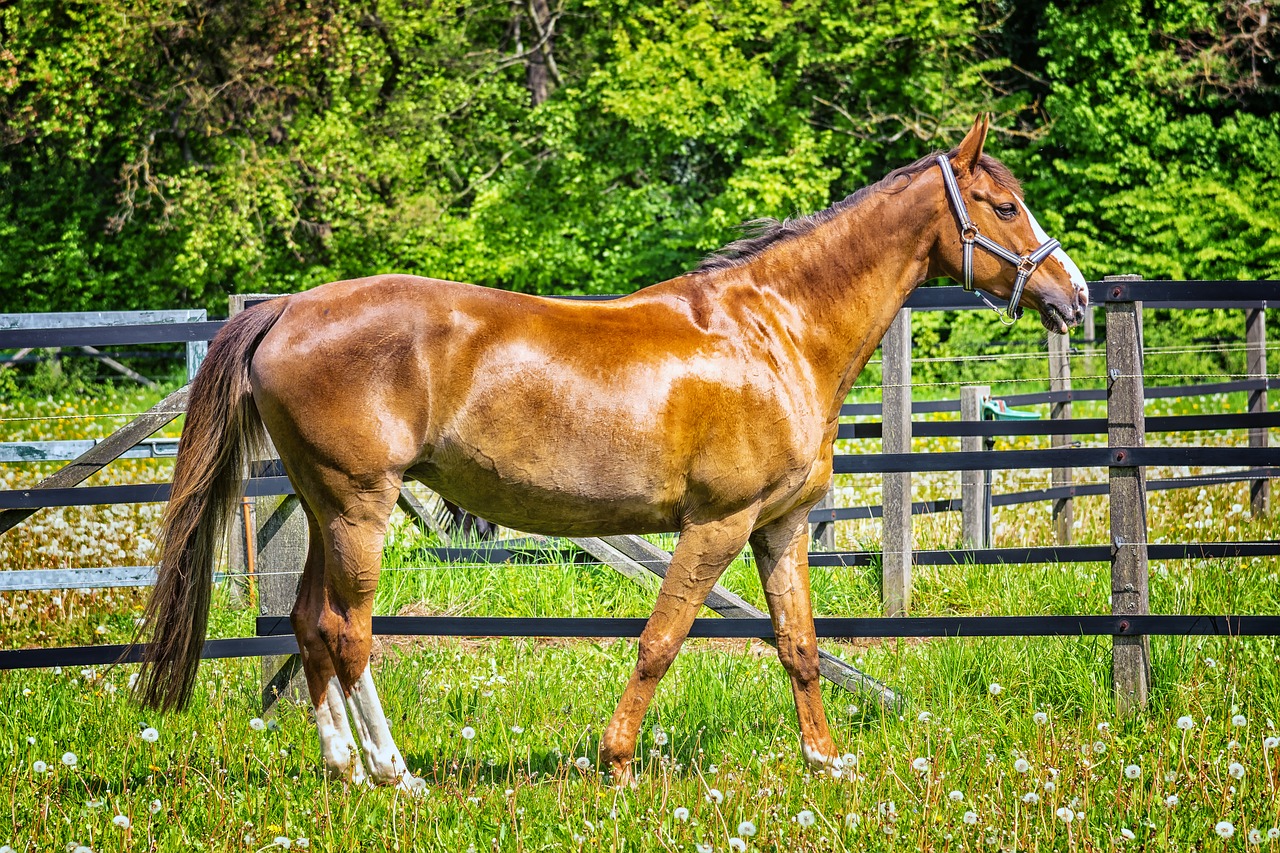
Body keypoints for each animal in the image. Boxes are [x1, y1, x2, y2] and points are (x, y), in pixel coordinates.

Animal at [132, 114, 1090, 788]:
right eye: (1005, 206)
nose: (1076, 296)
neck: (773, 331)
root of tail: (286, 308)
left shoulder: (778, 528)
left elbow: (799, 645)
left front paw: (823, 761)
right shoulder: (717, 524)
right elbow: (661, 641)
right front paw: (618, 760)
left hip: (327, 507)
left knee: (308, 624)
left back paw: (343, 767)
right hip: (359, 506)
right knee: (348, 631)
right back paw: (396, 773)